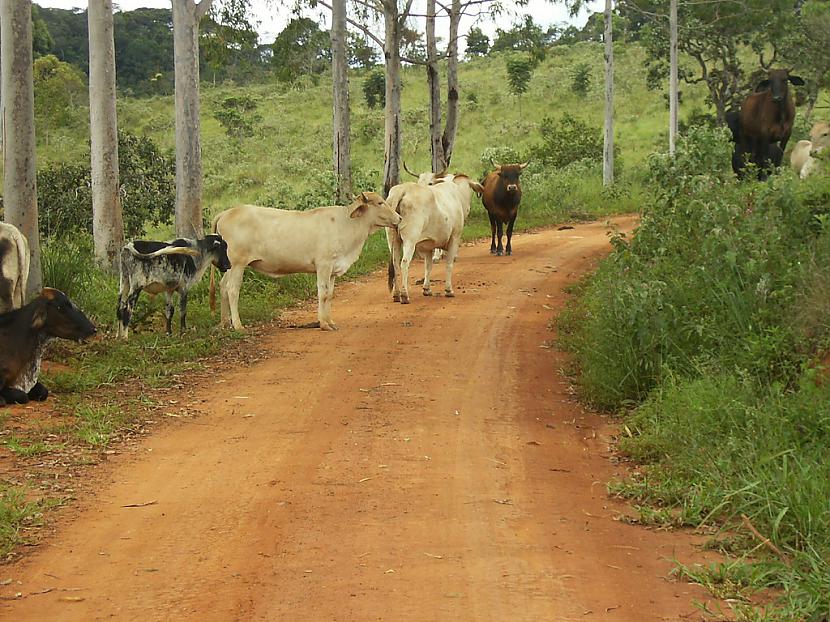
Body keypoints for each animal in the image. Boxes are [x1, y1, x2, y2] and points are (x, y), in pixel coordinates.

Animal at [211, 194, 400, 332]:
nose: (399, 217)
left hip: (229, 267)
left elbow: (330, 294)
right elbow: (323, 293)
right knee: (232, 290)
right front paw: (323, 324)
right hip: (237, 264)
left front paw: (330, 321)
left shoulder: (333, 269)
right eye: (380, 202)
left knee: (222, 287)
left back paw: (224, 323)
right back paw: (237, 325)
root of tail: (226, 213)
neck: (347, 225)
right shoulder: (323, 265)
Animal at [386, 174, 484, 306]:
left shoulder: (429, 245)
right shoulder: (454, 237)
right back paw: (404, 295)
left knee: (395, 264)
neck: (456, 193)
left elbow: (428, 266)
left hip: (393, 240)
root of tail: (403, 190)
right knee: (404, 263)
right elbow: (449, 264)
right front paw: (448, 290)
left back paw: (396, 294)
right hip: (410, 240)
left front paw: (426, 289)